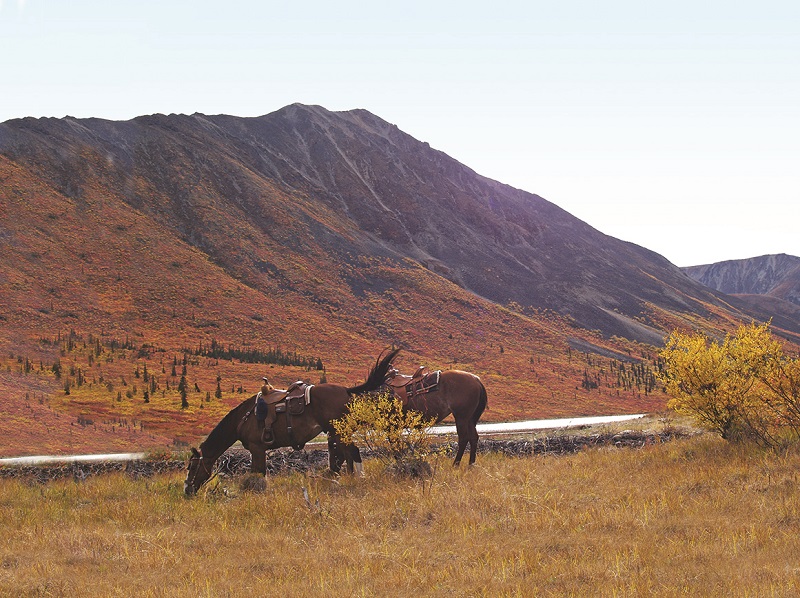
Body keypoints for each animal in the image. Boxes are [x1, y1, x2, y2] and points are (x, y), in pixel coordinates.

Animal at [184, 348, 400, 495]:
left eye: (193, 467)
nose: (187, 490)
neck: (243, 418)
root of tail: (346, 390)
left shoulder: (257, 448)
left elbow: (258, 473)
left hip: (339, 431)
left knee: (353, 452)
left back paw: (359, 479)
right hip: (337, 432)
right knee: (346, 455)